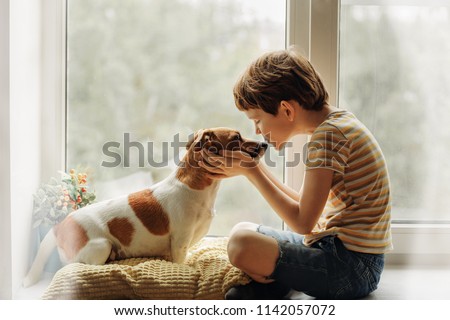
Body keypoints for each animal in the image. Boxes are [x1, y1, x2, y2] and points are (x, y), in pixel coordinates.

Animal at [22, 127, 268, 288]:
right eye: (236, 138)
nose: (265, 144)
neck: (197, 189)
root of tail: (61, 226)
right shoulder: (180, 242)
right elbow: (182, 261)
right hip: (101, 246)